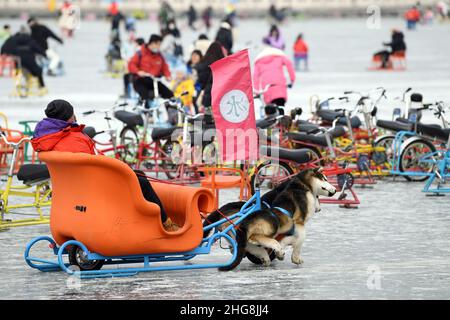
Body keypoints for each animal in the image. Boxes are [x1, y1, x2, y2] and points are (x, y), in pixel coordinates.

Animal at [203, 169, 334, 272]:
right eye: (325, 179)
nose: (334, 190)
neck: (301, 186)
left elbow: (289, 240)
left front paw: (281, 251)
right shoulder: (299, 224)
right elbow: (299, 240)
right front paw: (294, 257)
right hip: (269, 228)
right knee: (253, 241)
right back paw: (266, 252)